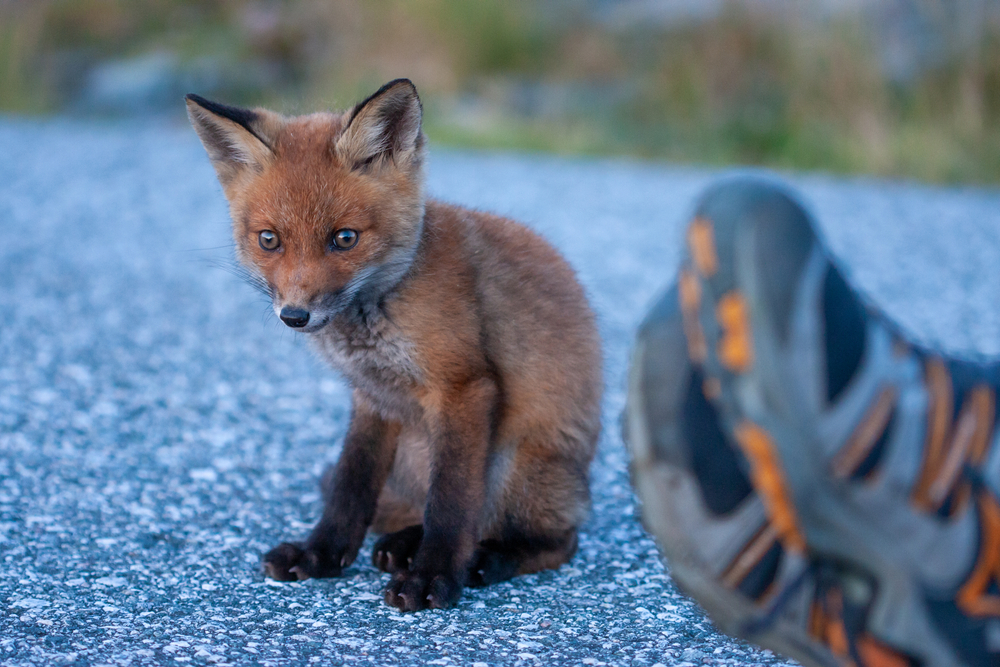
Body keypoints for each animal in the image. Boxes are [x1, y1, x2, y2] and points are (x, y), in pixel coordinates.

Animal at [185, 79, 602, 611]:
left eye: (344, 238)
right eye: (269, 240)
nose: (294, 315)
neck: (373, 318)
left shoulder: (464, 386)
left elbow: (451, 502)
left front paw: (434, 576)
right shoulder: (372, 398)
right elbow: (350, 485)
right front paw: (321, 554)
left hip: (514, 466)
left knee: (555, 539)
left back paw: (489, 558)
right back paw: (404, 542)